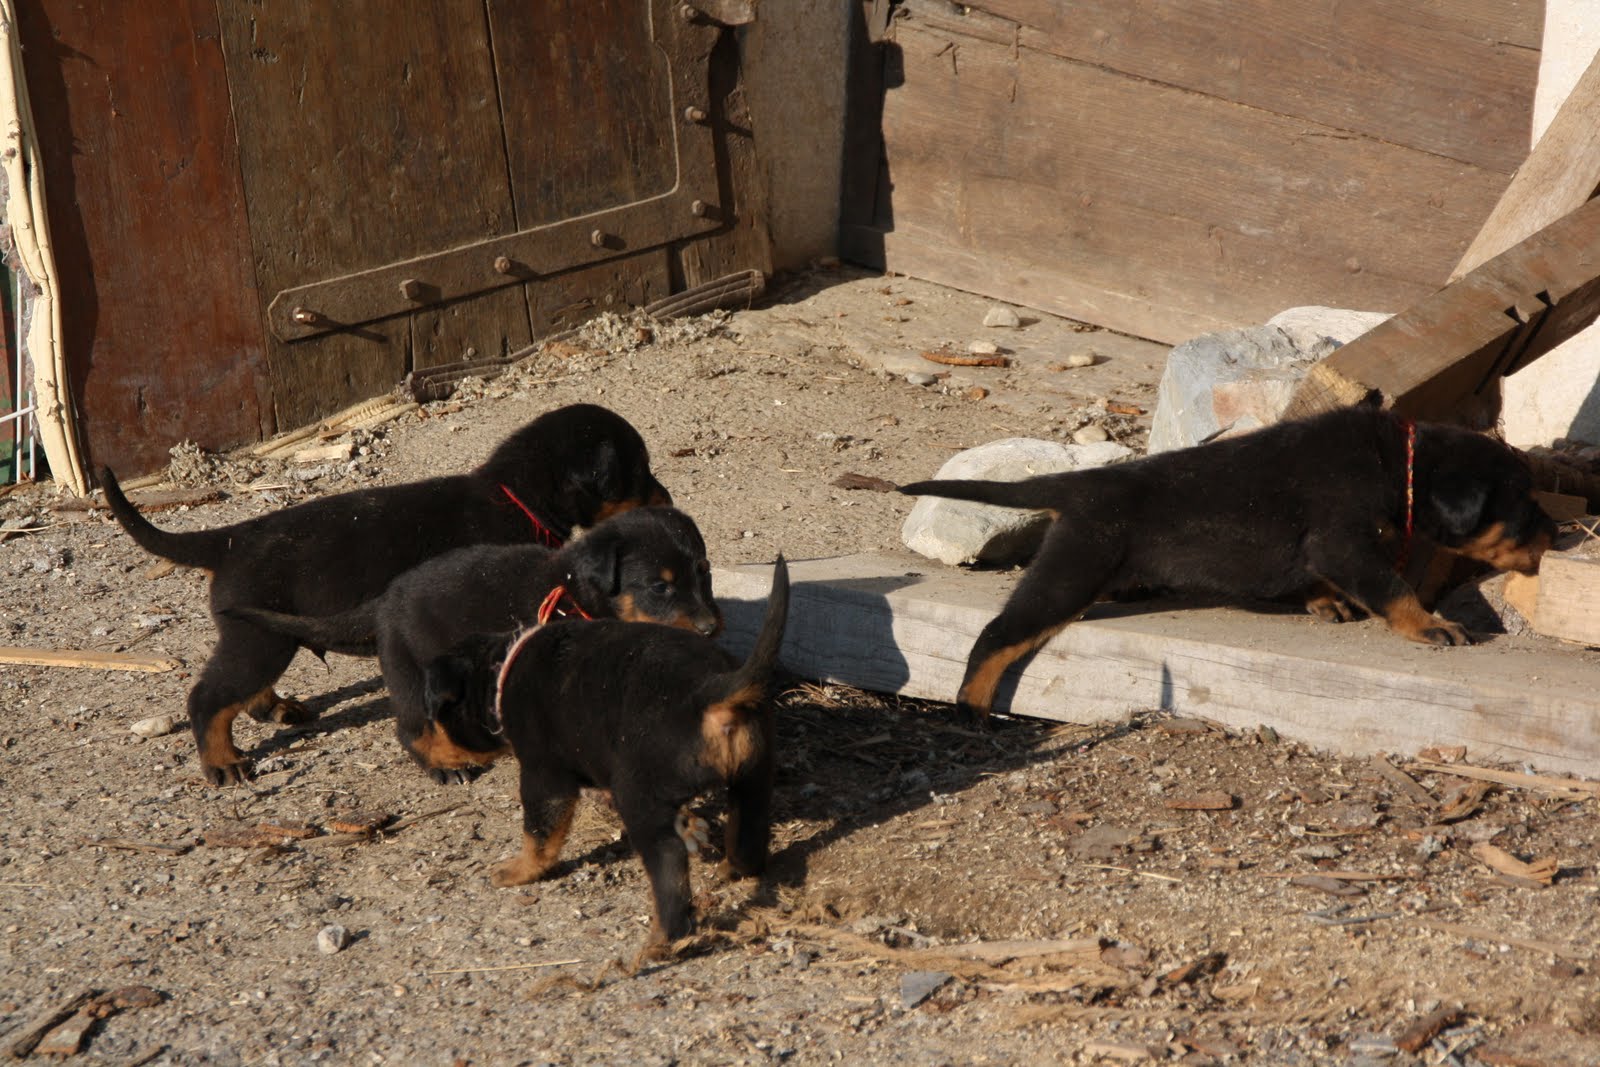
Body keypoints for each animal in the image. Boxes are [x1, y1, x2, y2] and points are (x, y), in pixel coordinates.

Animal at [101, 403, 670, 785]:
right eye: (638, 469)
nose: (666, 499)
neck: (514, 494)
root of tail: (230, 539)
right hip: (259, 641)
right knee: (209, 696)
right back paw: (222, 762)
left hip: (258, 636)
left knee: (241, 689)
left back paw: (278, 709)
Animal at [225, 506, 721, 782]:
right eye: (660, 587)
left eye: (705, 574)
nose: (711, 628)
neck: (576, 590)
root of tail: (385, 599)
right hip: (407, 670)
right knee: (411, 729)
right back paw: (446, 765)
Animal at [422, 556, 789, 953]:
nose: (434, 753)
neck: (501, 670)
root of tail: (711, 689)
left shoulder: (543, 774)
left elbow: (539, 835)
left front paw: (518, 871)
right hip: (754, 774)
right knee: (749, 837)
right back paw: (733, 868)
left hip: (641, 798)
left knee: (669, 869)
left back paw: (661, 941)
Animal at [899, 407, 1555, 721]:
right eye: (1524, 506)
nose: (1556, 536)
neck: (1401, 465)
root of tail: (1080, 486)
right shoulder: (1344, 540)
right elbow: (1392, 588)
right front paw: (1431, 625)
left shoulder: (1328, 549)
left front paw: (1324, 601)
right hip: (1073, 568)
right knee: (998, 633)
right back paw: (973, 704)